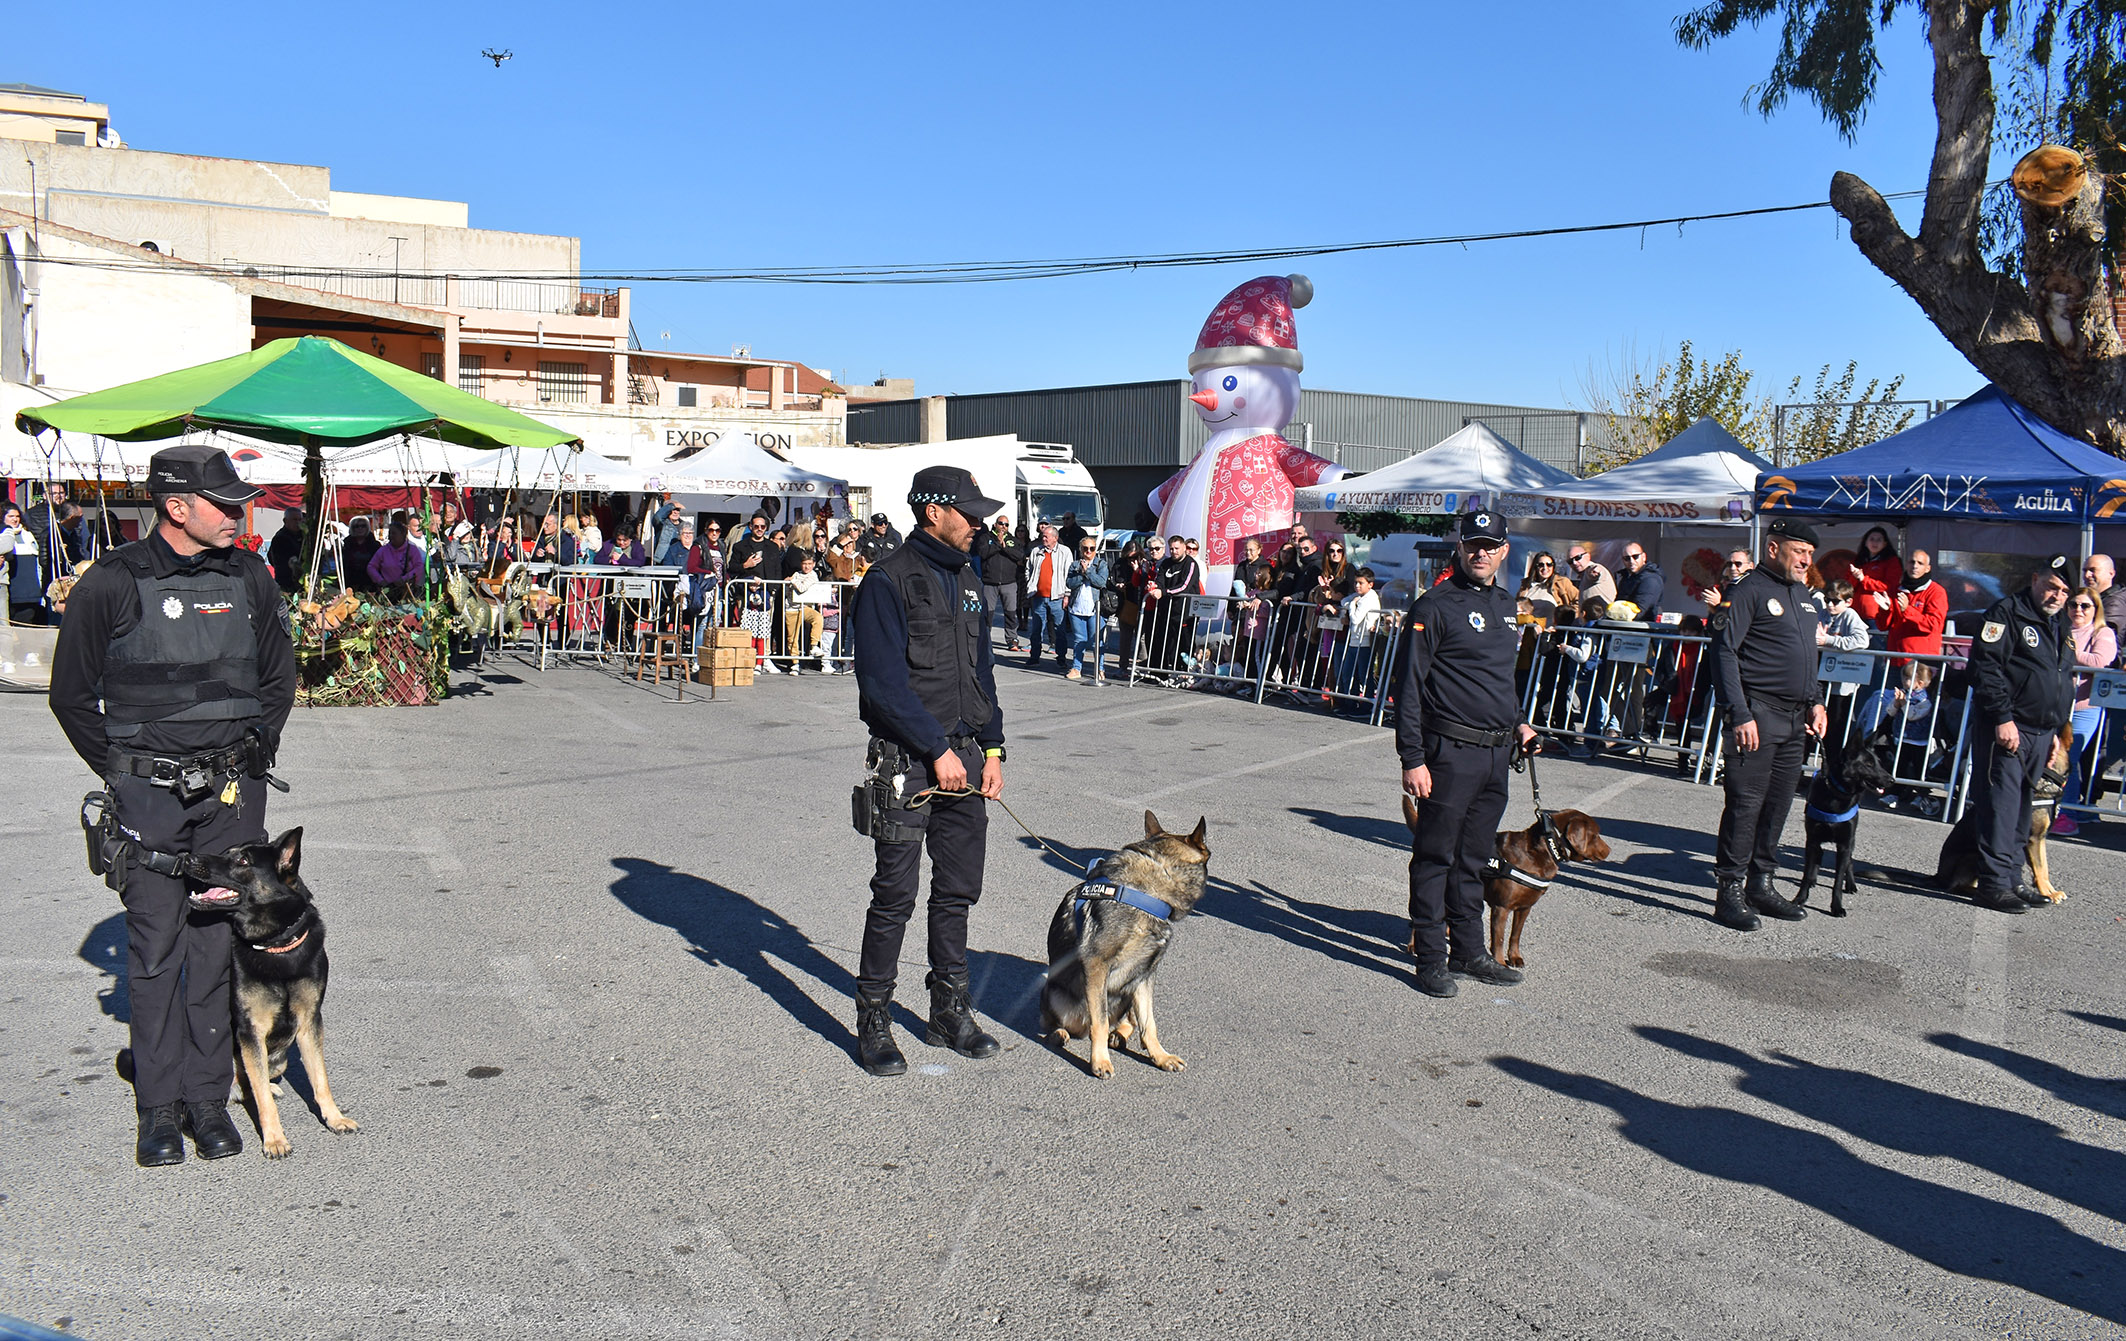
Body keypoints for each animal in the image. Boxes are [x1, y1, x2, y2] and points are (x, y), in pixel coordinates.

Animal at [189, 824, 363, 1156]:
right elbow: (264, 1102)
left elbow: (320, 1079)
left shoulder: (310, 1023)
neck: (276, 945)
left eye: (242, 860)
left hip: (279, 1058)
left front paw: (334, 1118)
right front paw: (274, 1139)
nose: (188, 858)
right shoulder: (251, 1031)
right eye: (226, 853)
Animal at [1037, 807, 1207, 1079]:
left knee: (1126, 1022)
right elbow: (1100, 1020)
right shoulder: (1096, 965)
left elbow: (1149, 1023)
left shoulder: (1144, 975)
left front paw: (1160, 1057)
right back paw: (1060, 1033)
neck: (1143, 893)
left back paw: (1118, 1036)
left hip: (1127, 991)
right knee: (1059, 1022)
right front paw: (1100, 1062)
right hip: (1054, 992)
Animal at [1394, 790, 1607, 969]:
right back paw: (1413, 945)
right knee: (1419, 918)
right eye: (1596, 835)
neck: (1544, 848)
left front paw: (1515, 957)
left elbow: (1515, 935)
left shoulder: (1525, 907)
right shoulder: (1501, 908)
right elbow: (1499, 940)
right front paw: (1500, 963)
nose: (1609, 850)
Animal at [1794, 735, 1896, 922]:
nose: (1893, 780)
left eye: (1879, 763)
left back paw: (1851, 884)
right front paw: (1800, 898)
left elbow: (1838, 879)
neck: (1836, 795)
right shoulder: (1812, 840)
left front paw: (1836, 907)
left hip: (1851, 841)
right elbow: (1806, 873)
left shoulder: (1844, 844)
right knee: (1819, 857)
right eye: (1868, 764)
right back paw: (1813, 878)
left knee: (1850, 861)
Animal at [1938, 731, 2066, 909]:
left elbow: (2044, 867)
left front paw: (2049, 891)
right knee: (1958, 885)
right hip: (1974, 855)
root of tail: (1938, 876)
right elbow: (2040, 867)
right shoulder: (2034, 839)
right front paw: (2048, 893)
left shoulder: (2039, 839)